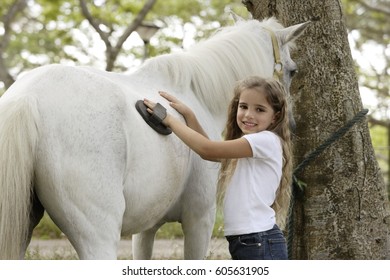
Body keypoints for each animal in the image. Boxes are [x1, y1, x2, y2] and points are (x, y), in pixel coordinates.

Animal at [0, 16, 308, 260]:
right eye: (292, 70)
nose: (291, 124)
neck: (195, 94)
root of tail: (27, 97)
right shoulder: (200, 219)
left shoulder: (146, 228)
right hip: (98, 236)